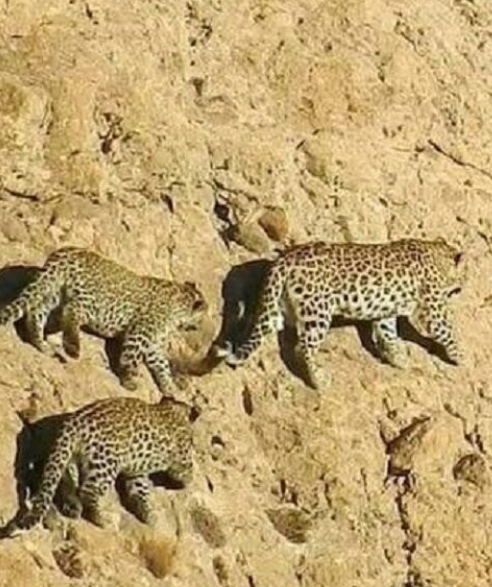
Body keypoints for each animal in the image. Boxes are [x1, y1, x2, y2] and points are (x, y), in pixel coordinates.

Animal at [0, 247, 207, 393]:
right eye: (205, 314)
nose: (200, 326)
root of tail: (63, 253)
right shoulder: (140, 332)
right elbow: (132, 357)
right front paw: (129, 380)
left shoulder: (153, 343)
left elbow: (162, 364)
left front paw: (170, 388)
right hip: (92, 302)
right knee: (71, 311)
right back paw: (72, 347)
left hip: (52, 291)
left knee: (35, 312)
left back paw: (42, 345)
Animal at [2, 396, 193, 536]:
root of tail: (74, 423)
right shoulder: (182, 456)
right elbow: (187, 470)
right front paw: (186, 482)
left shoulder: (136, 471)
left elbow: (139, 491)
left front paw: (148, 514)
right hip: (107, 462)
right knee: (87, 492)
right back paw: (102, 519)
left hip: (71, 456)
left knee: (64, 481)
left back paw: (73, 507)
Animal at [216, 238, 464, 389]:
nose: (462, 288)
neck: (437, 255)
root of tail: (282, 261)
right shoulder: (433, 308)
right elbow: (446, 331)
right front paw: (460, 357)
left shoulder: (386, 311)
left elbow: (388, 333)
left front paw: (399, 359)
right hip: (317, 311)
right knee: (303, 348)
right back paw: (319, 380)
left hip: (275, 309)